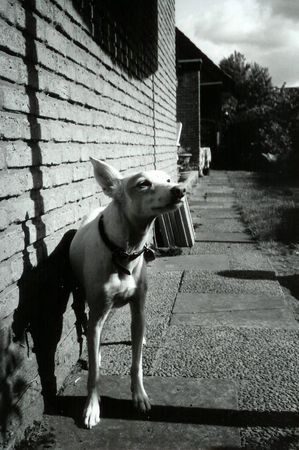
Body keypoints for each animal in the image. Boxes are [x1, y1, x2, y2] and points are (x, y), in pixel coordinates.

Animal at [69, 159, 186, 428]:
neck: (125, 250)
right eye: (143, 184)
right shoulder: (98, 311)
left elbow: (137, 363)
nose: (179, 189)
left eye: (167, 180)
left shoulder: (138, 307)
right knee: (87, 324)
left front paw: (139, 396)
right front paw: (92, 407)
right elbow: (94, 372)